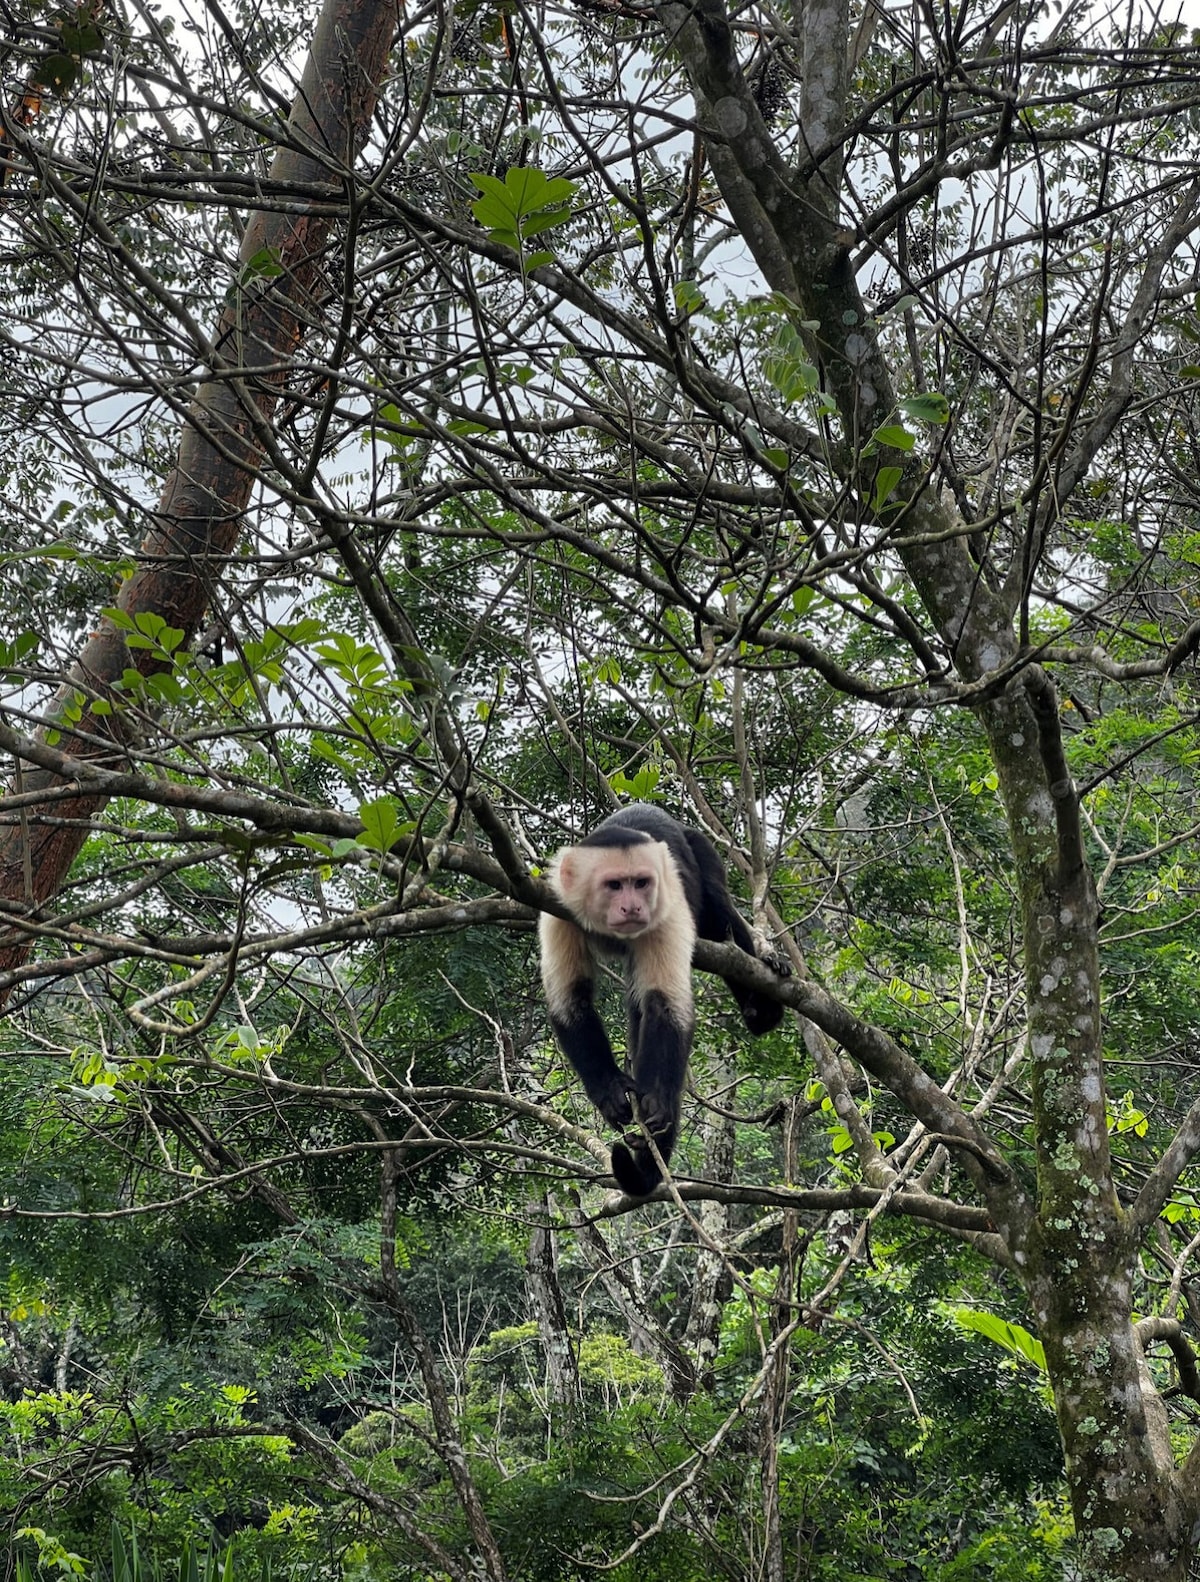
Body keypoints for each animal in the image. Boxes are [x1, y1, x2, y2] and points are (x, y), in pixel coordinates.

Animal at [540, 809, 787, 1189]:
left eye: (641, 883)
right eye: (614, 885)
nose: (632, 907)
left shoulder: (666, 905)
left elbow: (666, 1005)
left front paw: (657, 1101)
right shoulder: (557, 906)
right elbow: (570, 1002)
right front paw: (610, 1089)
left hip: (702, 848)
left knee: (720, 915)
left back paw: (763, 1003)